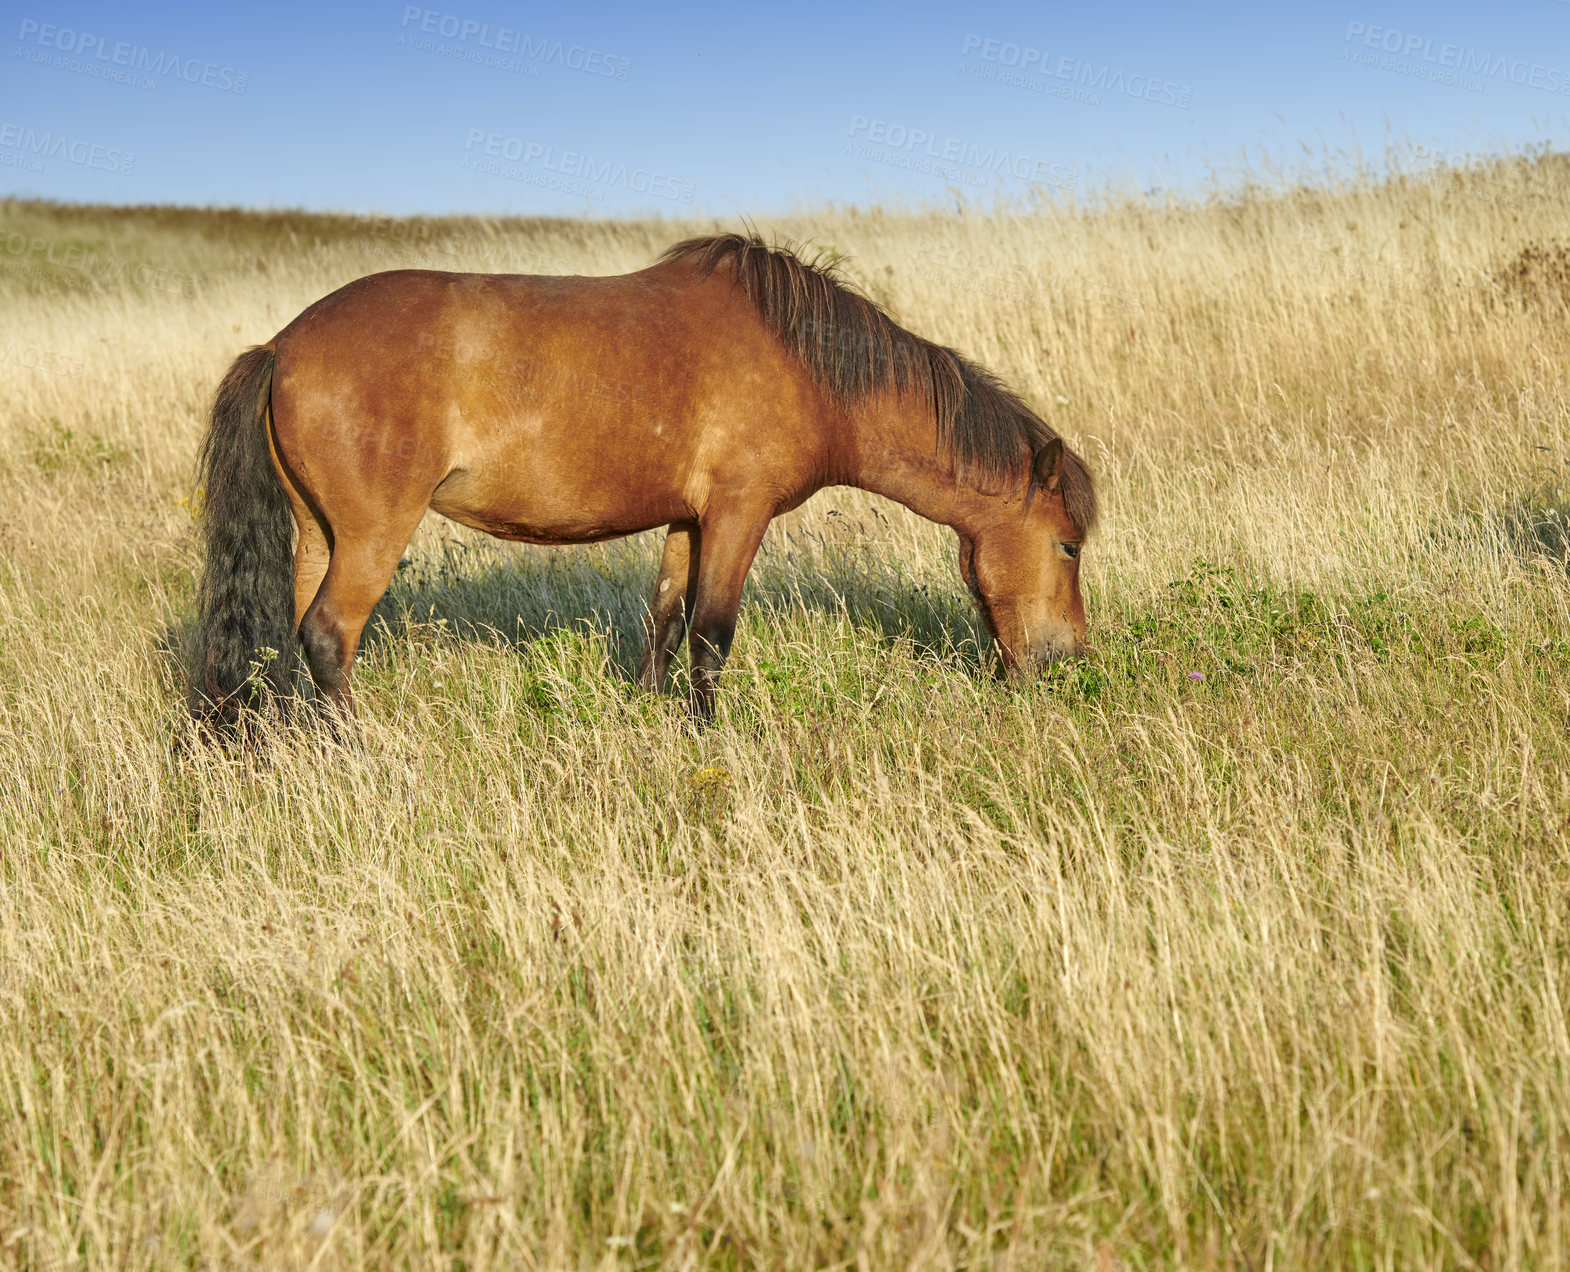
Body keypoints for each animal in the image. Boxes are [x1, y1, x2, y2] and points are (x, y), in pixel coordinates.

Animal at [189, 232, 1099, 728]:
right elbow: (712, 635)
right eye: (1068, 546)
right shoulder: (738, 514)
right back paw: (358, 752)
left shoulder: (687, 520)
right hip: (373, 537)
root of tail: (282, 345)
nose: (1066, 660)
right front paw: (707, 738)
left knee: (291, 636)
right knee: (327, 636)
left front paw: (653, 719)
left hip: (319, 535)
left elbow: (664, 621)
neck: (807, 362)